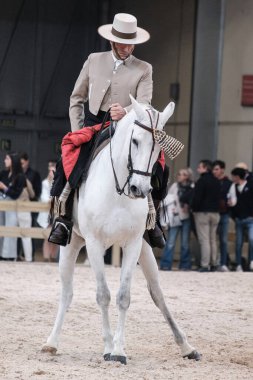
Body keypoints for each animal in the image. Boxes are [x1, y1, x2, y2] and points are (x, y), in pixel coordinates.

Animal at [42, 96, 201, 364]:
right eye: (135, 140)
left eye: (158, 148)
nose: (139, 188)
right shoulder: (94, 244)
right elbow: (103, 295)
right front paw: (108, 347)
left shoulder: (133, 244)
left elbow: (124, 297)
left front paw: (118, 350)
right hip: (72, 243)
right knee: (67, 293)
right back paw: (51, 342)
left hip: (145, 249)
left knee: (157, 293)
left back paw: (186, 346)